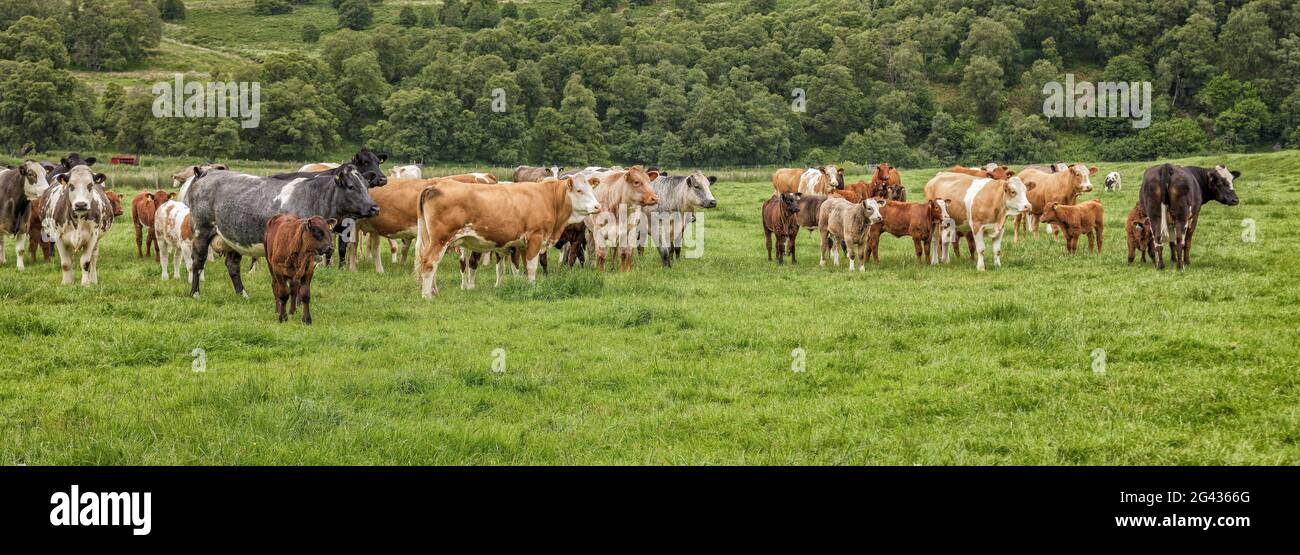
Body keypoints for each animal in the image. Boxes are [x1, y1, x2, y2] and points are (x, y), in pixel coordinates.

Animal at [186, 164, 380, 299]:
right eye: (351, 186)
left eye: (366, 186)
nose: (374, 208)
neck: (313, 197)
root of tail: (207, 173)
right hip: (201, 231)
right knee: (198, 262)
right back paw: (195, 294)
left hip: (232, 238)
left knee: (233, 266)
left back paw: (243, 294)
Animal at [414, 177, 601, 298]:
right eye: (579, 190)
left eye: (592, 189)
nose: (597, 206)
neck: (548, 199)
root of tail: (435, 184)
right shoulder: (535, 237)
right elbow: (532, 267)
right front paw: (532, 288)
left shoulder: (523, 244)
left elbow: (522, 267)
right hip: (440, 240)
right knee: (430, 263)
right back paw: (427, 295)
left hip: (430, 240)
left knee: (428, 263)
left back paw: (434, 291)